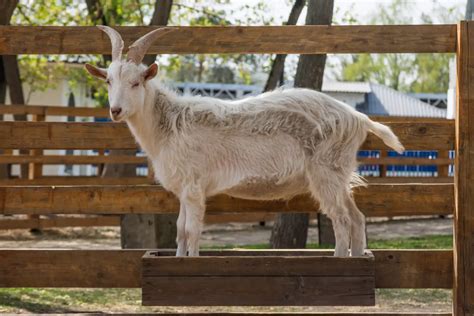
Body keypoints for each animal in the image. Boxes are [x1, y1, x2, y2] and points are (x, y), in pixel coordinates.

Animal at [86, 26, 404, 256]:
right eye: (109, 81)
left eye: (136, 82)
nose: (115, 110)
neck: (169, 125)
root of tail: (357, 117)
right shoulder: (183, 190)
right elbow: (179, 231)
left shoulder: (194, 187)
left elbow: (191, 231)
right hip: (339, 175)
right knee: (357, 217)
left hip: (326, 174)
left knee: (342, 220)